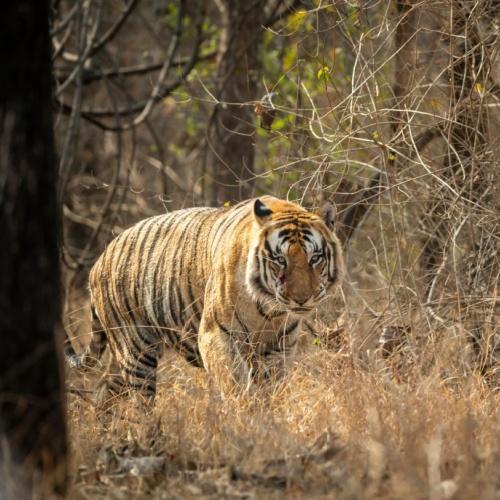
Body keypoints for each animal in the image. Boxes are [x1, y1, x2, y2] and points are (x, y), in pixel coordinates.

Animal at [65, 197, 344, 400]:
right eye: (279, 260)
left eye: (315, 258)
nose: (301, 299)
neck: (270, 311)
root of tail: (99, 260)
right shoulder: (215, 335)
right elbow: (236, 382)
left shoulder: (278, 348)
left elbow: (271, 391)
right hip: (136, 351)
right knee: (139, 403)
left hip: (121, 357)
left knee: (105, 393)